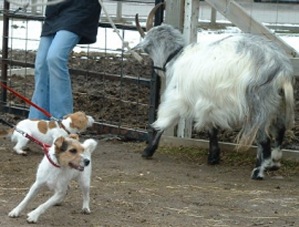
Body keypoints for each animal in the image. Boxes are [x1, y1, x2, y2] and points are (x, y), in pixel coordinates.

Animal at [135, 13, 296, 180]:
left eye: (147, 49)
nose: (155, 69)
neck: (176, 57)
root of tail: (281, 70)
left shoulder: (178, 98)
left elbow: (163, 122)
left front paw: (148, 151)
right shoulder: (209, 103)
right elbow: (212, 127)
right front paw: (214, 157)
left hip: (259, 104)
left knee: (264, 138)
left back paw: (258, 172)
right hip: (279, 104)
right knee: (280, 131)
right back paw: (274, 163)